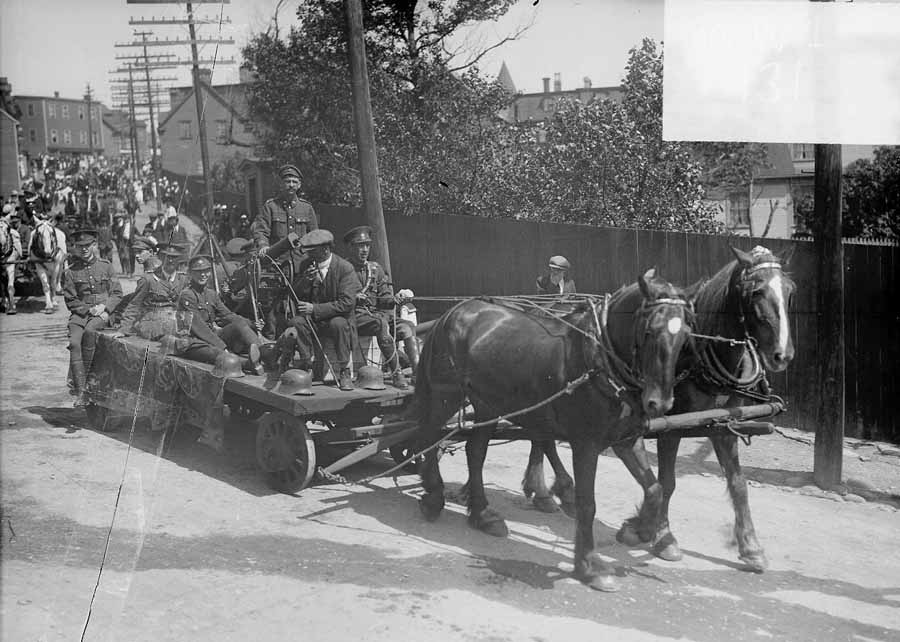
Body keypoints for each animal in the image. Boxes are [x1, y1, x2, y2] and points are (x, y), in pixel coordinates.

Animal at [412, 266, 700, 592]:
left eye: (685, 335)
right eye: (649, 330)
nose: (659, 403)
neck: (599, 358)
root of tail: (453, 312)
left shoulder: (627, 440)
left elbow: (655, 488)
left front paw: (639, 530)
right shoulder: (586, 445)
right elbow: (588, 504)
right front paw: (589, 566)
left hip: (487, 404)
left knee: (475, 452)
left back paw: (483, 515)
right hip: (445, 395)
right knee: (429, 436)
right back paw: (434, 497)